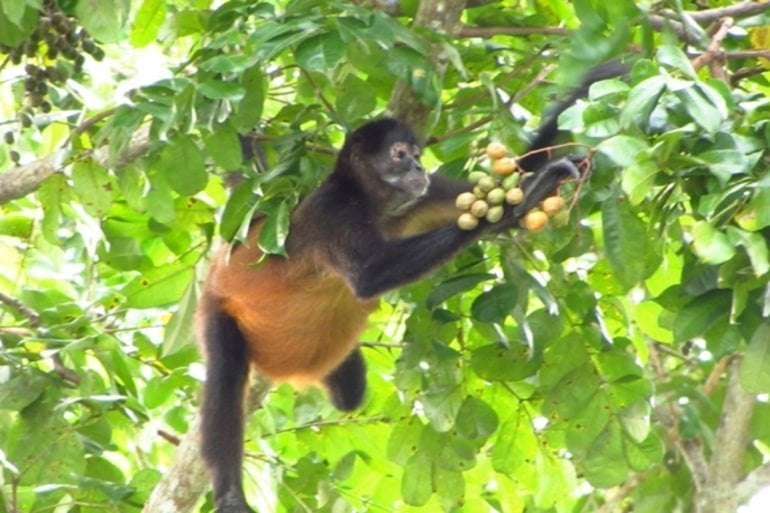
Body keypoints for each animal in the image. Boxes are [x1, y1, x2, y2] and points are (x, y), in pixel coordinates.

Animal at [196, 60, 624, 508]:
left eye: (417, 156)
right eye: (399, 155)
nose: (417, 167)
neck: (372, 206)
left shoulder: (424, 195)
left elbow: (517, 169)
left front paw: (601, 76)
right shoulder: (332, 213)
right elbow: (372, 276)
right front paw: (517, 204)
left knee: (349, 390)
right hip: (218, 309)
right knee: (226, 375)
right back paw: (230, 495)